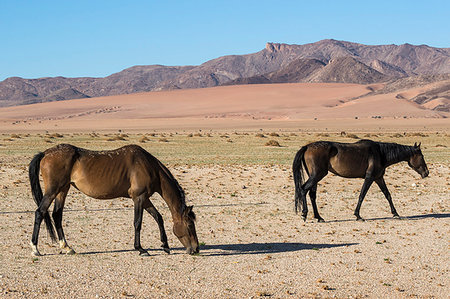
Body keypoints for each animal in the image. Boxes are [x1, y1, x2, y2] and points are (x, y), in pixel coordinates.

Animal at [27, 144, 198, 256]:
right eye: (190, 225)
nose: (196, 249)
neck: (149, 167)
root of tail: (45, 153)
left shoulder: (145, 198)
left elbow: (158, 217)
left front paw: (165, 246)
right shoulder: (139, 198)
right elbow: (138, 223)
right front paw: (141, 249)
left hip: (63, 190)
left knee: (57, 215)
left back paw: (67, 247)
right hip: (53, 191)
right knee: (40, 212)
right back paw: (35, 249)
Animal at [292, 139, 428, 221]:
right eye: (421, 156)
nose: (426, 173)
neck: (380, 153)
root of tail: (307, 147)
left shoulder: (379, 178)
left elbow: (387, 195)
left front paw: (395, 213)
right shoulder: (370, 178)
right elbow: (362, 195)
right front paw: (358, 215)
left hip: (315, 176)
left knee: (312, 194)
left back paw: (318, 217)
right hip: (317, 175)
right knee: (303, 189)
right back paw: (304, 214)